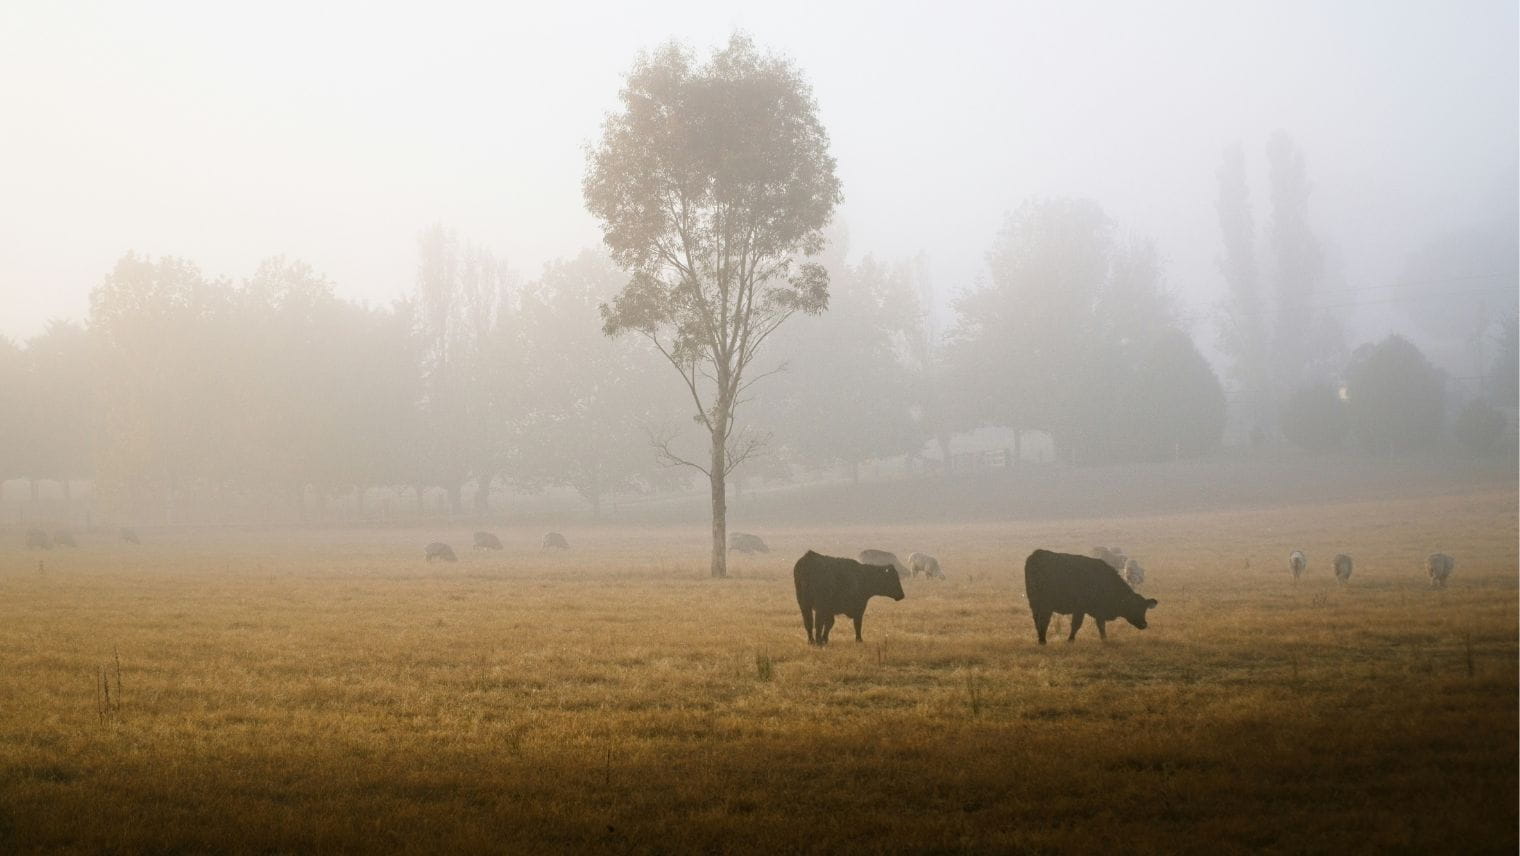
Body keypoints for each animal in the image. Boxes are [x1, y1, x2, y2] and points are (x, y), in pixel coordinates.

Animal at [1024, 549, 1157, 645]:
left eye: (1144, 608)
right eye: (1134, 607)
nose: (1144, 624)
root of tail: (1037, 554)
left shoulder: (1099, 610)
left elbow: (1101, 625)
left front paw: (1104, 638)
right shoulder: (1080, 609)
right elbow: (1077, 625)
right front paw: (1071, 640)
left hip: (1035, 604)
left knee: (1037, 620)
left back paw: (1041, 639)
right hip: (1045, 604)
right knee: (1043, 620)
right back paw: (1043, 640)